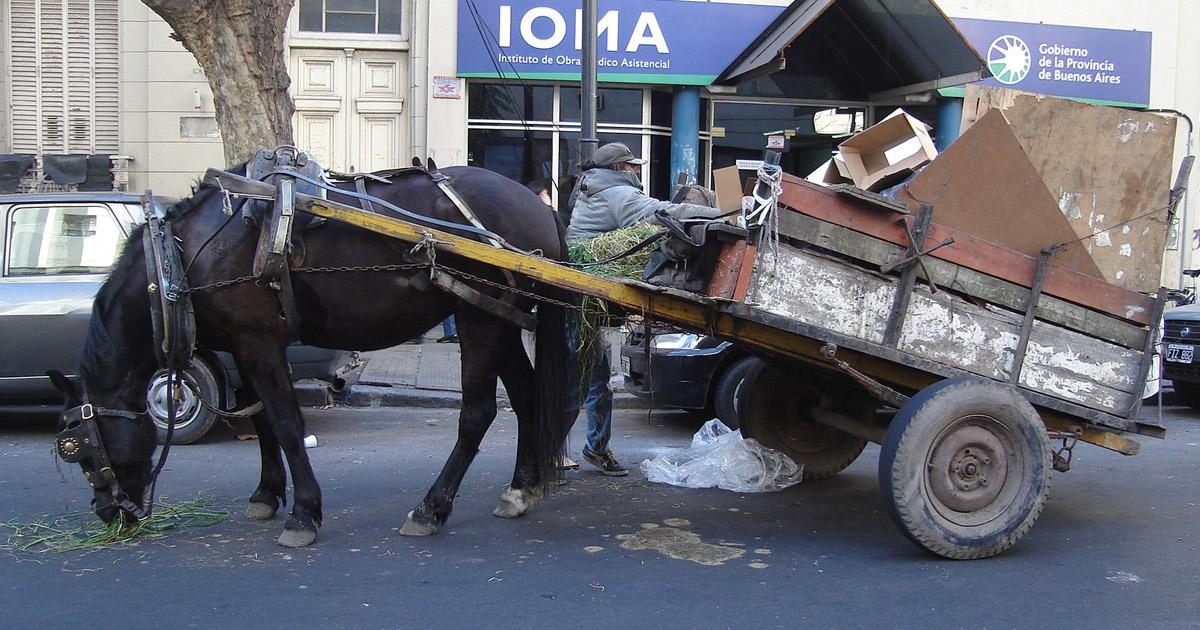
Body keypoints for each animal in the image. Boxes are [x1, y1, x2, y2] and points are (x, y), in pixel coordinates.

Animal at [54, 160, 578, 544]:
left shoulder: (258, 338)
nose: (110, 513)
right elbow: (264, 421)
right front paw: (266, 495)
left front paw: (304, 512)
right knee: (526, 396)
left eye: (82, 450)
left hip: (479, 318)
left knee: (479, 411)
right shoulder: (242, 345)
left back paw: (431, 508)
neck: (181, 260)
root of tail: (537, 205)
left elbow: (286, 422)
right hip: (501, 318)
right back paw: (521, 488)